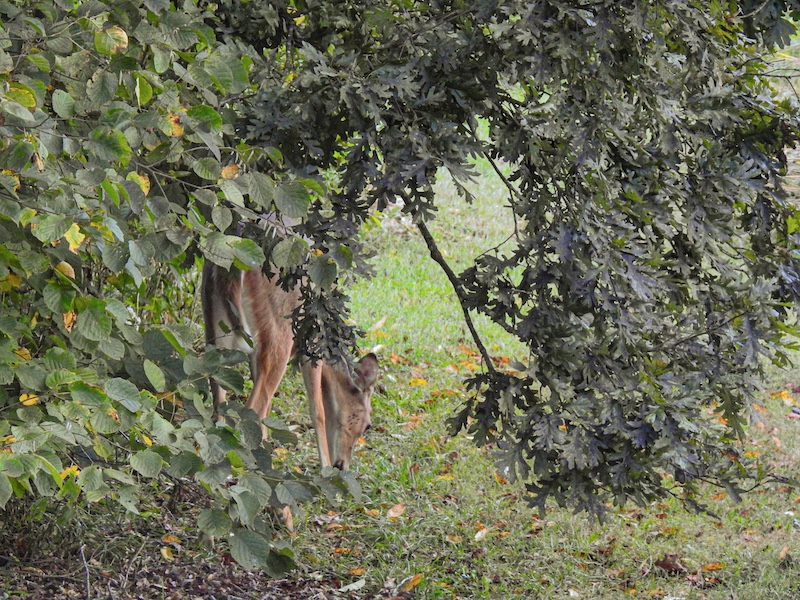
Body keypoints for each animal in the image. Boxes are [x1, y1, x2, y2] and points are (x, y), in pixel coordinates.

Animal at [201, 261, 379, 472]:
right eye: (368, 425)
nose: (341, 465)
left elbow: (269, 407)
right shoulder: (311, 346)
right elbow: (318, 410)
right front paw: (325, 469)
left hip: (215, 328)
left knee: (219, 402)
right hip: (278, 336)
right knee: (252, 408)